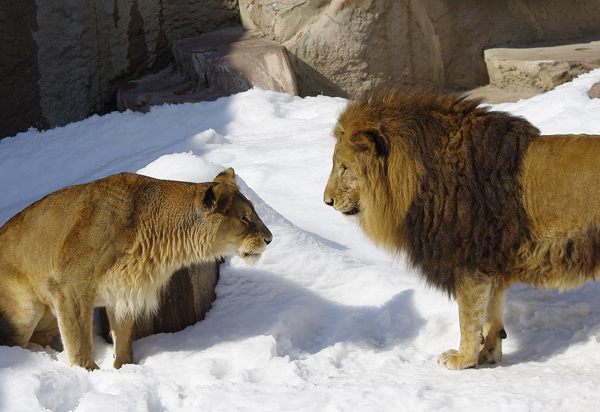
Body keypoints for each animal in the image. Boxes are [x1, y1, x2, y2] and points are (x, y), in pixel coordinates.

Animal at [0, 167, 272, 370]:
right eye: (244, 218)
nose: (269, 238)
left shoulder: (122, 290)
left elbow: (123, 337)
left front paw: (124, 368)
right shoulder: (69, 289)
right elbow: (80, 346)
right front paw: (91, 375)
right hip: (27, 310)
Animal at [326, 90, 600, 370]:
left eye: (344, 168)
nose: (327, 201)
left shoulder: (469, 262)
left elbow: (468, 318)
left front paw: (462, 360)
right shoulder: (492, 264)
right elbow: (491, 315)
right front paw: (487, 355)